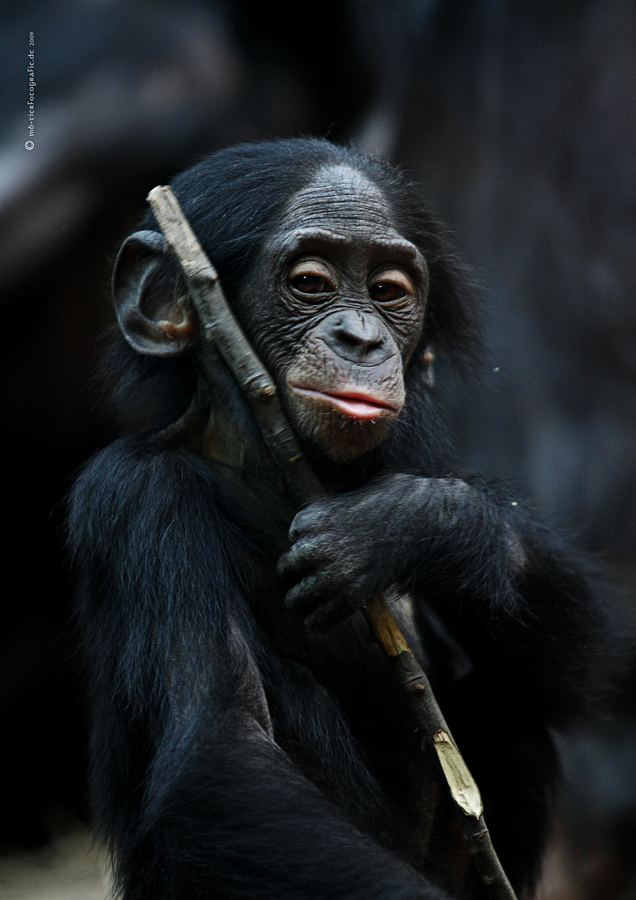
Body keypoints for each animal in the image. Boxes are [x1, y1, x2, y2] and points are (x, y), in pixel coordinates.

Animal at [67, 137, 604, 896]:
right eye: (312, 283)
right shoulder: (136, 500)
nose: (362, 338)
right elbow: (221, 756)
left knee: (520, 706)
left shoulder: (410, 448)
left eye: (388, 292)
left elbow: (579, 663)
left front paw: (403, 526)